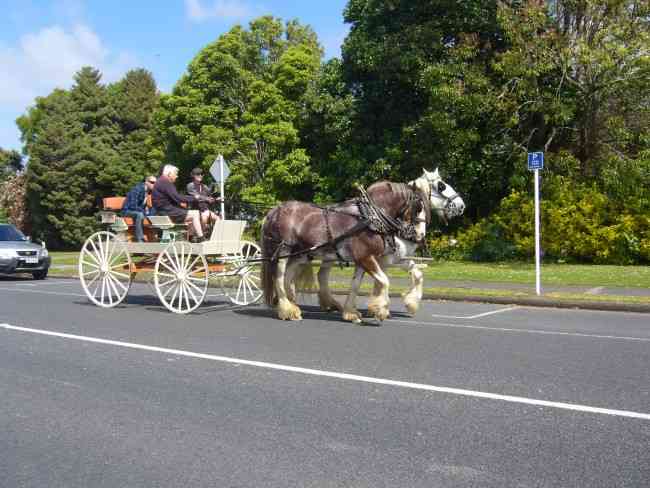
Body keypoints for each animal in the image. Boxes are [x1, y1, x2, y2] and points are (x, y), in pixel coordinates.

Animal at [260, 173, 432, 322]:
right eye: (418, 207)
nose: (420, 235)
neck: (371, 218)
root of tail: (274, 210)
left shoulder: (366, 259)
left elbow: (356, 285)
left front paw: (351, 313)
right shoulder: (367, 257)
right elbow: (384, 280)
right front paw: (380, 310)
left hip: (301, 254)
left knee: (290, 276)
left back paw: (293, 306)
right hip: (282, 250)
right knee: (279, 277)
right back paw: (287, 309)